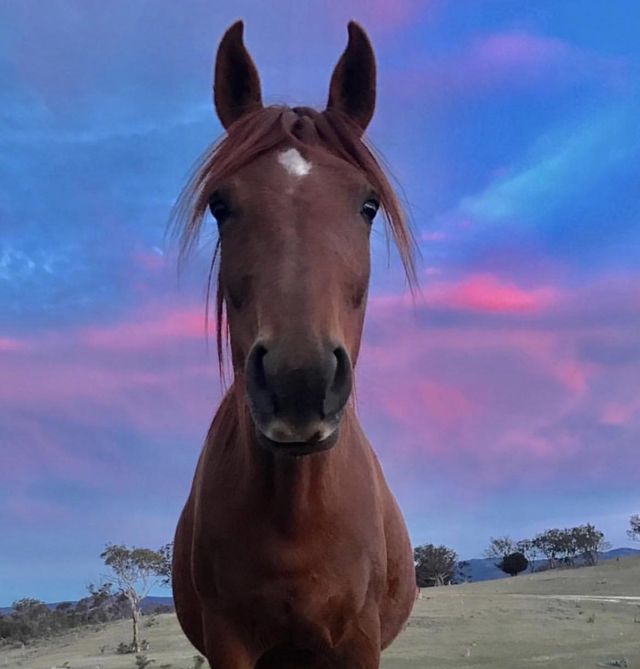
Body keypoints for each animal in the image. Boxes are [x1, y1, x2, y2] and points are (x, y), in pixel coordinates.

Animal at [171, 20, 418, 668]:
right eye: (221, 204)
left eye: (368, 204)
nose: (298, 381)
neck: (295, 514)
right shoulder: (230, 643)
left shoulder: (357, 640)